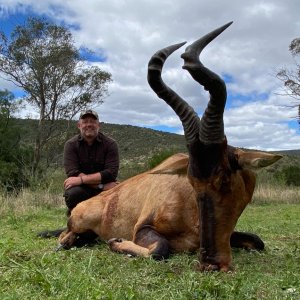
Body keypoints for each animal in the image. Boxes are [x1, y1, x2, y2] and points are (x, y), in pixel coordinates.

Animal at [57, 22, 282, 272]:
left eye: (224, 178)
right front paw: (116, 242)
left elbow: (257, 241)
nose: (210, 263)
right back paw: (70, 241)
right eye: (191, 181)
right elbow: (160, 250)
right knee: (64, 236)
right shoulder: (144, 228)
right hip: (78, 222)